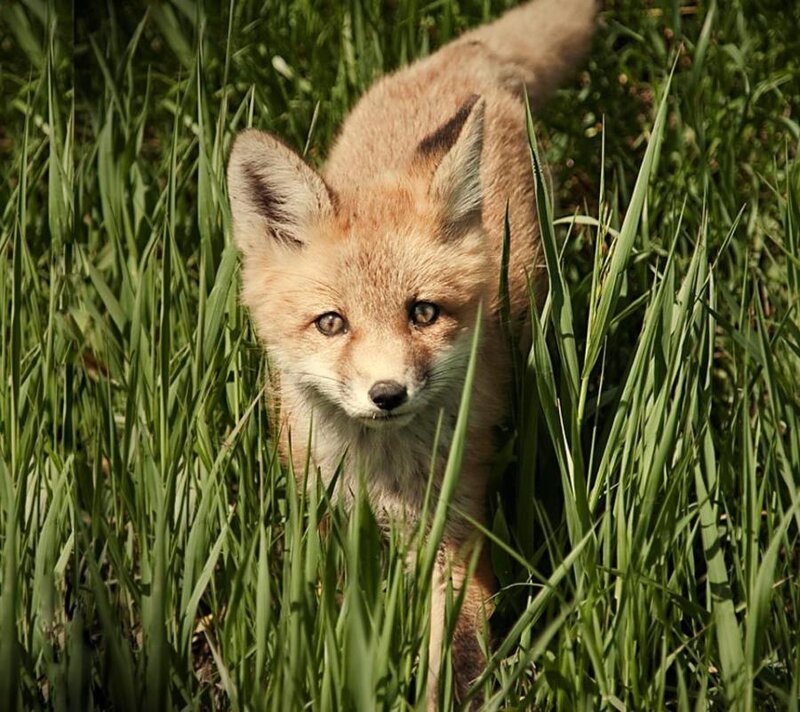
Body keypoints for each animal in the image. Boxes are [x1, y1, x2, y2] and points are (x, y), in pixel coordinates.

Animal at [227, 0, 596, 706]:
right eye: (332, 323)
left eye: (422, 313)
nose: (388, 394)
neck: (381, 479)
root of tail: (463, 59)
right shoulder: (322, 525)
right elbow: (330, 623)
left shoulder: (456, 539)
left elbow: (452, 650)